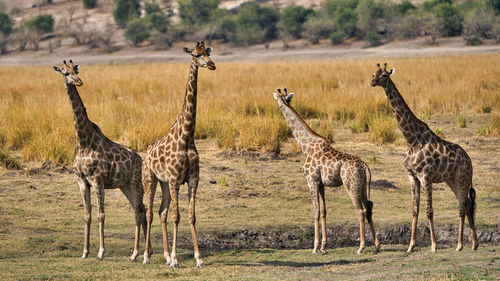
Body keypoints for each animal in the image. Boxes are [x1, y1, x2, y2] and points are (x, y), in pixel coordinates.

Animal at [52, 59, 147, 260]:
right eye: (65, 72)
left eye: (76, 70)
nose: (79, 81)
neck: (83, 141)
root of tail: (140, 159)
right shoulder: (82, 181)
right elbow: (87, 215)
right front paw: (85, 252)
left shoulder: (97, 180)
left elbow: (101, 215)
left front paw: (101, 252)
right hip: (124, 185)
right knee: (141, 209)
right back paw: (146, 251)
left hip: (135, 182)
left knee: (138, 210)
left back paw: (135, 253)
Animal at [143, 41, 217, 266]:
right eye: (196, 54)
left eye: (208, 52)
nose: (212, 65)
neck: (186, 137)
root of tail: (146, 152)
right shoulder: (176, 180)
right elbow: (177, 217)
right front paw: (176, 260)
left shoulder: (192, 179)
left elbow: (191, 217)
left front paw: (198, 258)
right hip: (150, 179)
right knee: (149, 213)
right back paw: (146, 256)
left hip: (164, 183)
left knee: (161, 212)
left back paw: (166, 255)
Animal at [274, 88, 378, 255]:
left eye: (278, 99)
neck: (305, 146)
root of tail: (364, 166)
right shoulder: (321, 183)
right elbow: (324, 211)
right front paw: (323, 247)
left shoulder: (311, 180)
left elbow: (315, 211)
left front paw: (315, 247)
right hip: (361, 185)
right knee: (369, 207)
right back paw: (377, 245)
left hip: (351, 185)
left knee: (361, 210)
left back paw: (361, 247)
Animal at [372, 63, 476, 252]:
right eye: (373, 74)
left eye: (384, 75)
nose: (373, 82)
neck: (412, 140)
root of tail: (469, 160)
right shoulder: (412, 176)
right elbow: (415, 210)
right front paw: (411, 246)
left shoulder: (426, 176)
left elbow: (429, 211)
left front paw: (434, 246)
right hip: (451, 180)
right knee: (466, 204)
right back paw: (474, 243)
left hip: (462, 178)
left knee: (462, 206)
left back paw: (460, 245)